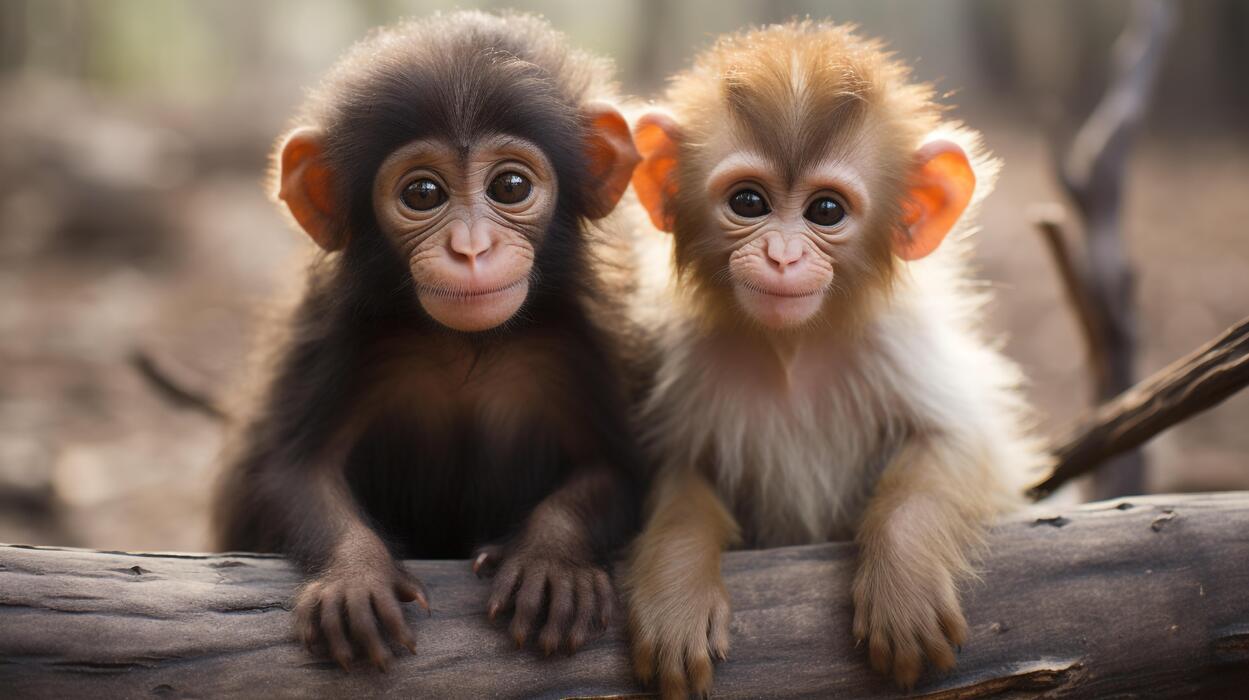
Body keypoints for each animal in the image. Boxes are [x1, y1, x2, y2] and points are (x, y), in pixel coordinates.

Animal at [210, 11, 644, 671]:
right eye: (422, 194)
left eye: (510, 186)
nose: (470, 249)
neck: (467, 346)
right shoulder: (335, 340)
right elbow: (288, 473)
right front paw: (354, 576)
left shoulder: (587, 340)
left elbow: (616, 472)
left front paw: (553, 560)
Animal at [621, 21, 1040, 697]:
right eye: (749, 202)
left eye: (825, 211)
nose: (784, 256)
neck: (793, 349)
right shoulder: (681, 361)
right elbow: (682, 482)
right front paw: (674, 595)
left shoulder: (899, 348)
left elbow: (957, 443)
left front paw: (904, 588)